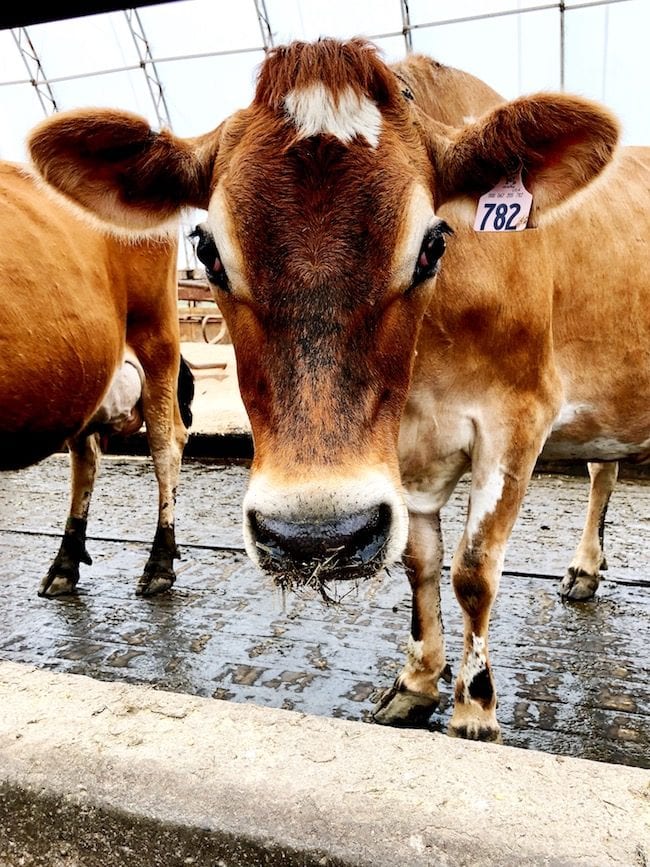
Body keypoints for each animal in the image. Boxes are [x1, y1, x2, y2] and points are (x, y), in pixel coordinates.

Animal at [25, 39, 636, 744]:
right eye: (207, 250)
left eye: (433, 245)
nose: (314, 539)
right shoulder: (401, 457)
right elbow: (419, 562)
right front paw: (415, 685)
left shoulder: (519, 419)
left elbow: (472, 571)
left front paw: (473, 712)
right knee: (603, 470)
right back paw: (584, 571)